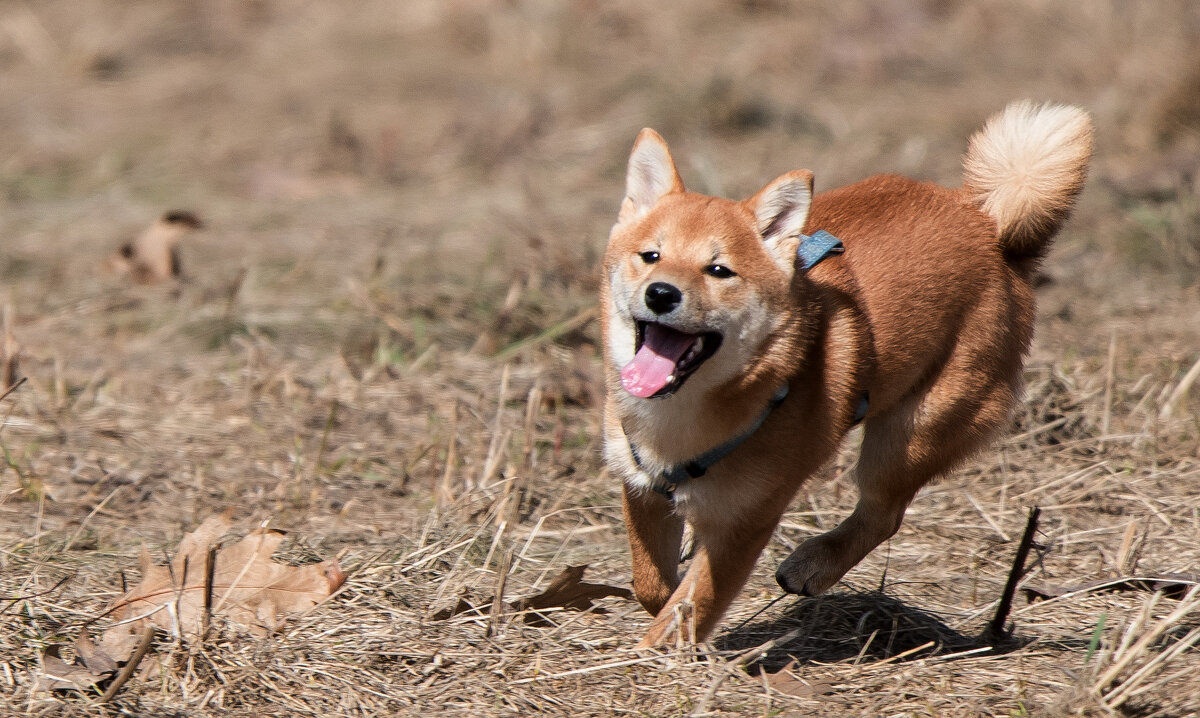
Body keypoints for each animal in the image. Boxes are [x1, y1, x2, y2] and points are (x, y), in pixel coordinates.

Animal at [604, 99, 1094, 648]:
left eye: (719, 270)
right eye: (651, 256)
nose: (660, 293)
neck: (681, 417)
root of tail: (987, 223)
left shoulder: (745, 523)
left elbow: (690, 607)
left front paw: (652, 658)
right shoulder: (639, 483)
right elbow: (650, 581)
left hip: (912, 435)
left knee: (883, 514)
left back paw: (814, 563)